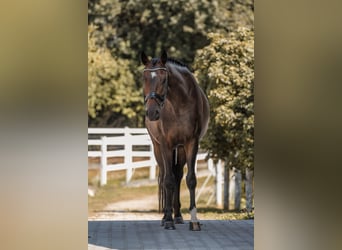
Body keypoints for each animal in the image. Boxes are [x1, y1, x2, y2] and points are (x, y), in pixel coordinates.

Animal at [140, 50, 210, 230]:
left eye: (164, 79)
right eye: (144, 78)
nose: (152, 113)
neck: (179, 104)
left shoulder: (191, 143)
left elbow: (190, 179)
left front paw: (194, 221)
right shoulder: (165, 145)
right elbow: (168, 180)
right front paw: (168, 220)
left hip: (180, 149)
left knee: (178, 175)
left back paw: (177, 215)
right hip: (158, 148)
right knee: (166, 174)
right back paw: (167, 216)